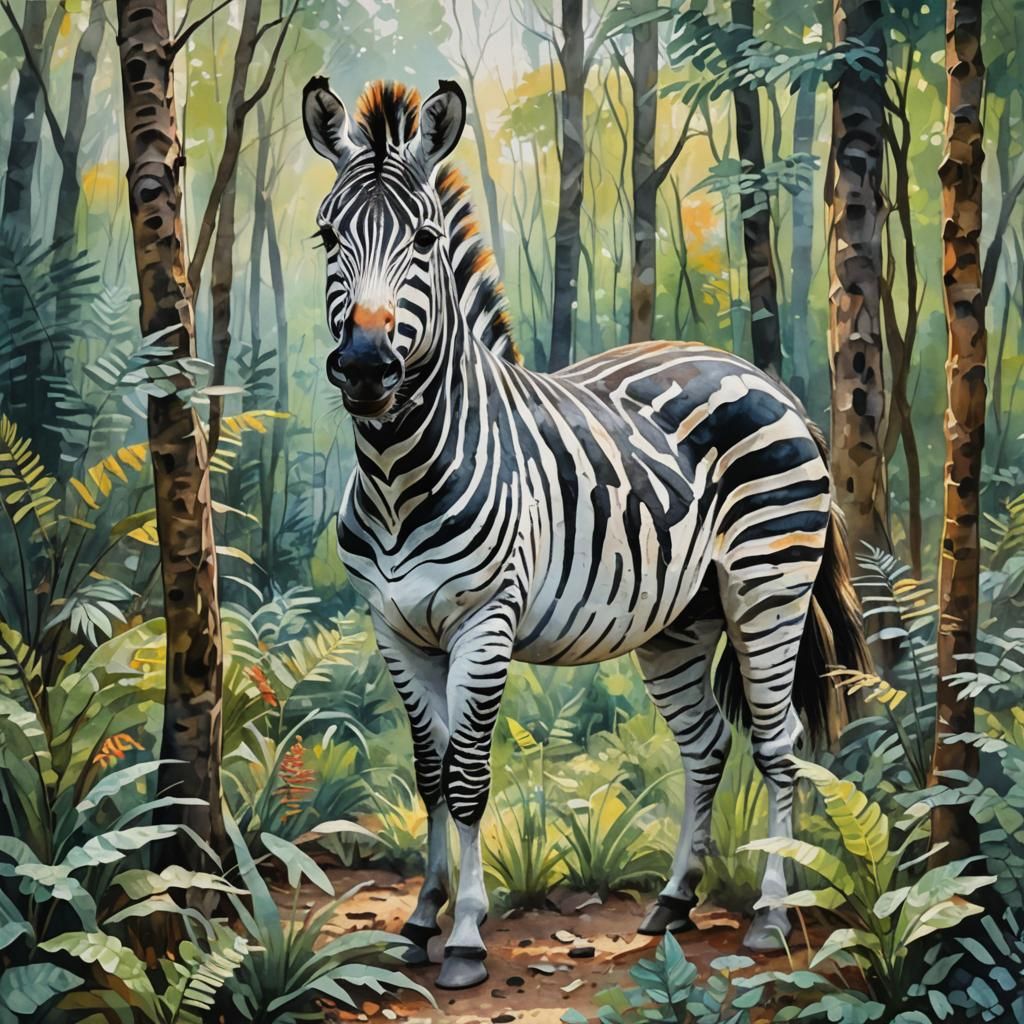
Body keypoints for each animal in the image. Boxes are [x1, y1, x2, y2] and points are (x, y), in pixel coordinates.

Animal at [302, 76, 870, 990]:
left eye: (424, 238)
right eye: (327, 234)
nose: (362, 366)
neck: (397, 477)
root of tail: (764, 378)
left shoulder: (486, 621)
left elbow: (467, 777)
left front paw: (466, 937)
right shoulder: (393, 627)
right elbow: (427, 775)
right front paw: (418, 923)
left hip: (768, 587)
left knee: (778, 740)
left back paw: (771, 914)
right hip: (680, 620)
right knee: (707, 744)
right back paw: (673, 901)